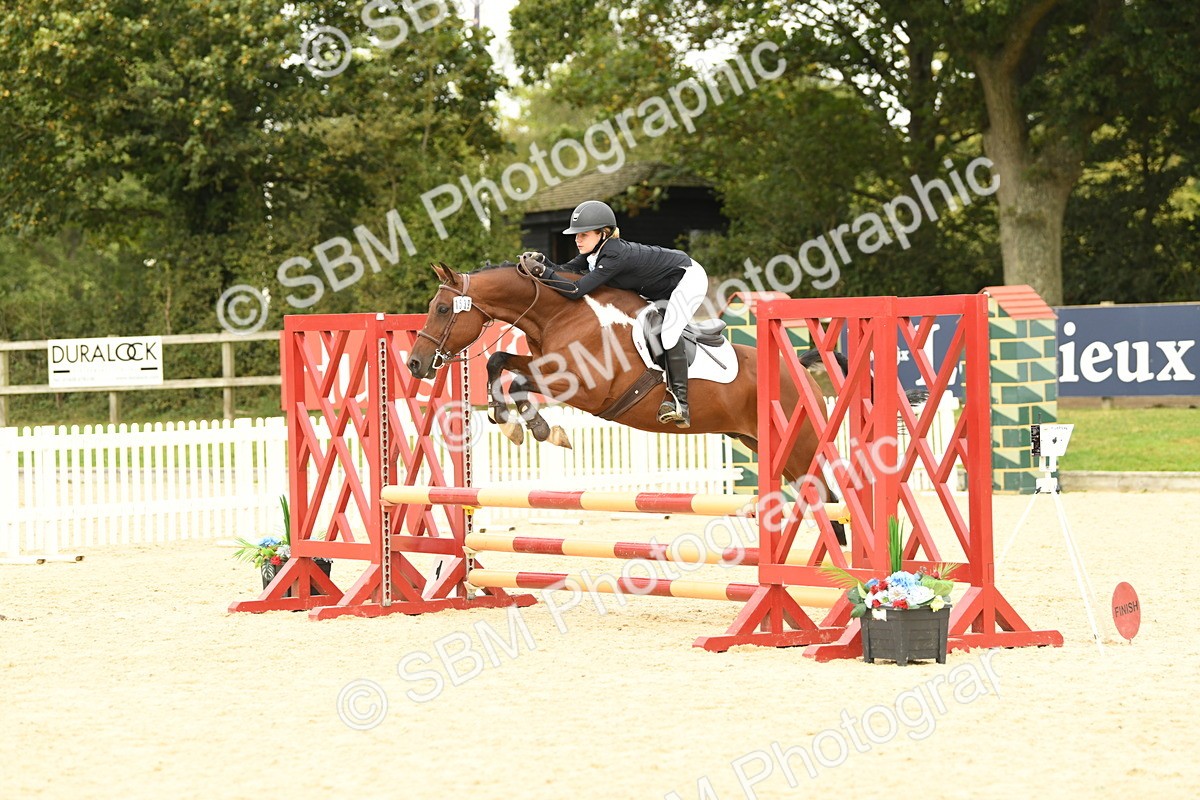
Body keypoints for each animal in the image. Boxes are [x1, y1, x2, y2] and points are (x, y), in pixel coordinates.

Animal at [405, 262, 846, 520]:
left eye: (442, 309)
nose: (415, 364)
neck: (560, 312)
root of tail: (797, 370)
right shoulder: (546, 364)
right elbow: (500, 362)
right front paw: (512, 421)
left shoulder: (583, 387)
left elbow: (519, 383)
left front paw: (538, 428)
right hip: (760, 443)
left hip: (801, 444)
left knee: (827, 496)